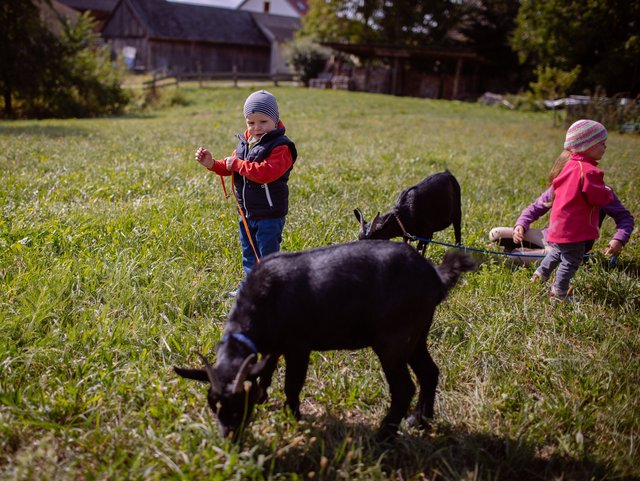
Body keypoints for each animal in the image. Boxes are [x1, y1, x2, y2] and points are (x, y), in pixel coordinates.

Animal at [175, 240, 476, 438]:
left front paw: (292, 416)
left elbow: (292, 385)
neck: (262, 299)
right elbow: (266, 370)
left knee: (404, 387)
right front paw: (264, 395)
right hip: (416, 336)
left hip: (392, 340)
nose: (229, 439)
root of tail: (435, 275)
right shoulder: (272, 347)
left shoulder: (298, 347)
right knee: (430, 372)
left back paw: (384, 433)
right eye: (213, 405)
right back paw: (420, 420)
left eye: (240, 405)